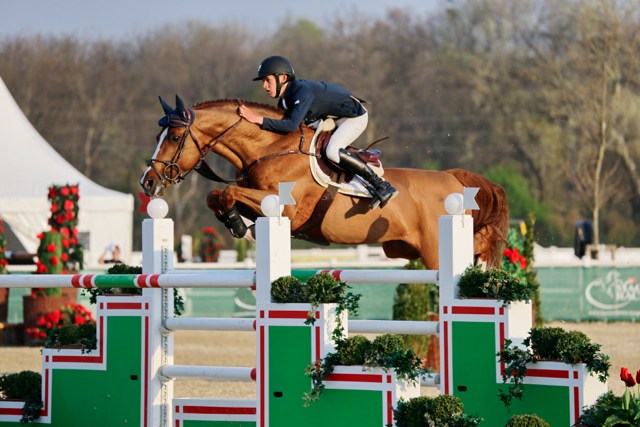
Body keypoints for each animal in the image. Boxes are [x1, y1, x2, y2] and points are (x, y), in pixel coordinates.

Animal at [140, 97, 510, 270]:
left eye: (174, 137)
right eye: (157, 136)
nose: (148, 182)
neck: (270, 147)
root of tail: (453, 176)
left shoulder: (284, 207)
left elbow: (227, 191)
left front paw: (236, 224)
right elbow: (216, 194)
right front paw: (236, 223)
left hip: (436, 251)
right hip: (410, 248)